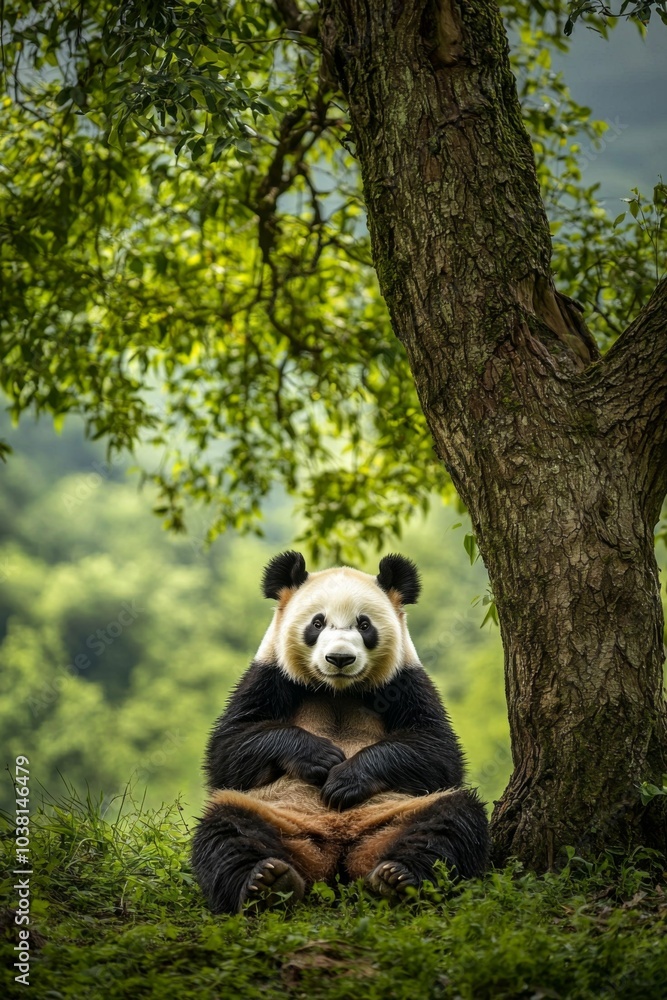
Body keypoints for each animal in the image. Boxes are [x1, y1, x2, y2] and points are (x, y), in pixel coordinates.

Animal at [192, 551, 490, 913]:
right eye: (317, 623)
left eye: (364, 625)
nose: (339, 658)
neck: (338, 690)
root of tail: (335, 857)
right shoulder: (269, 675)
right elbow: (229, 751)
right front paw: (320, 757)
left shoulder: (405, 680)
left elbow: (438, 753)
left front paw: (345, 780)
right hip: (275, 816)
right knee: (227, 829)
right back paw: (266, 882)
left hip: (395, 815)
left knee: (450, 821)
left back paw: (398, 879)